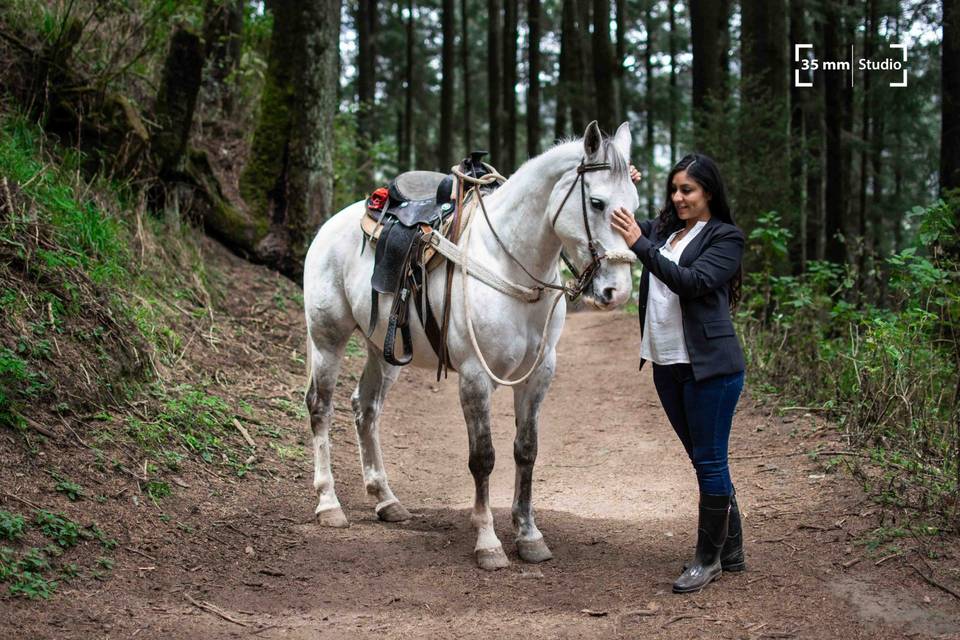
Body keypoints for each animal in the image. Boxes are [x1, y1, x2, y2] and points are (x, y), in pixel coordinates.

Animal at [304, 120, 640, 568]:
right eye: (598, 203)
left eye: (633, 204)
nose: (617, 292)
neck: (509, 262)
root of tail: (330, 225)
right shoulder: (475, 377)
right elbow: (483, 458)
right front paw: (488, 541)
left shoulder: (539, 375)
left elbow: (526, 450)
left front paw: (529, 535)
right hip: (328, 339)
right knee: (320, 407)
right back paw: (329, 503)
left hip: (385, 350)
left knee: (366, 408)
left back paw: (386, 499)